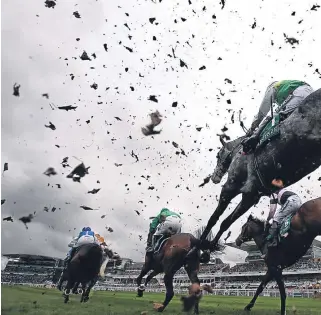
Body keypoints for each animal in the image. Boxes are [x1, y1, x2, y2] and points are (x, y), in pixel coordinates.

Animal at [192, 88, 320, 252]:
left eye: (218, 155)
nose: (215, 178)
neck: (240, 153)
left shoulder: (230, 187)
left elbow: (213, 218)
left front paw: (198, 247)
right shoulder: (250, 196)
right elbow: (226, 222)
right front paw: (211, 246)